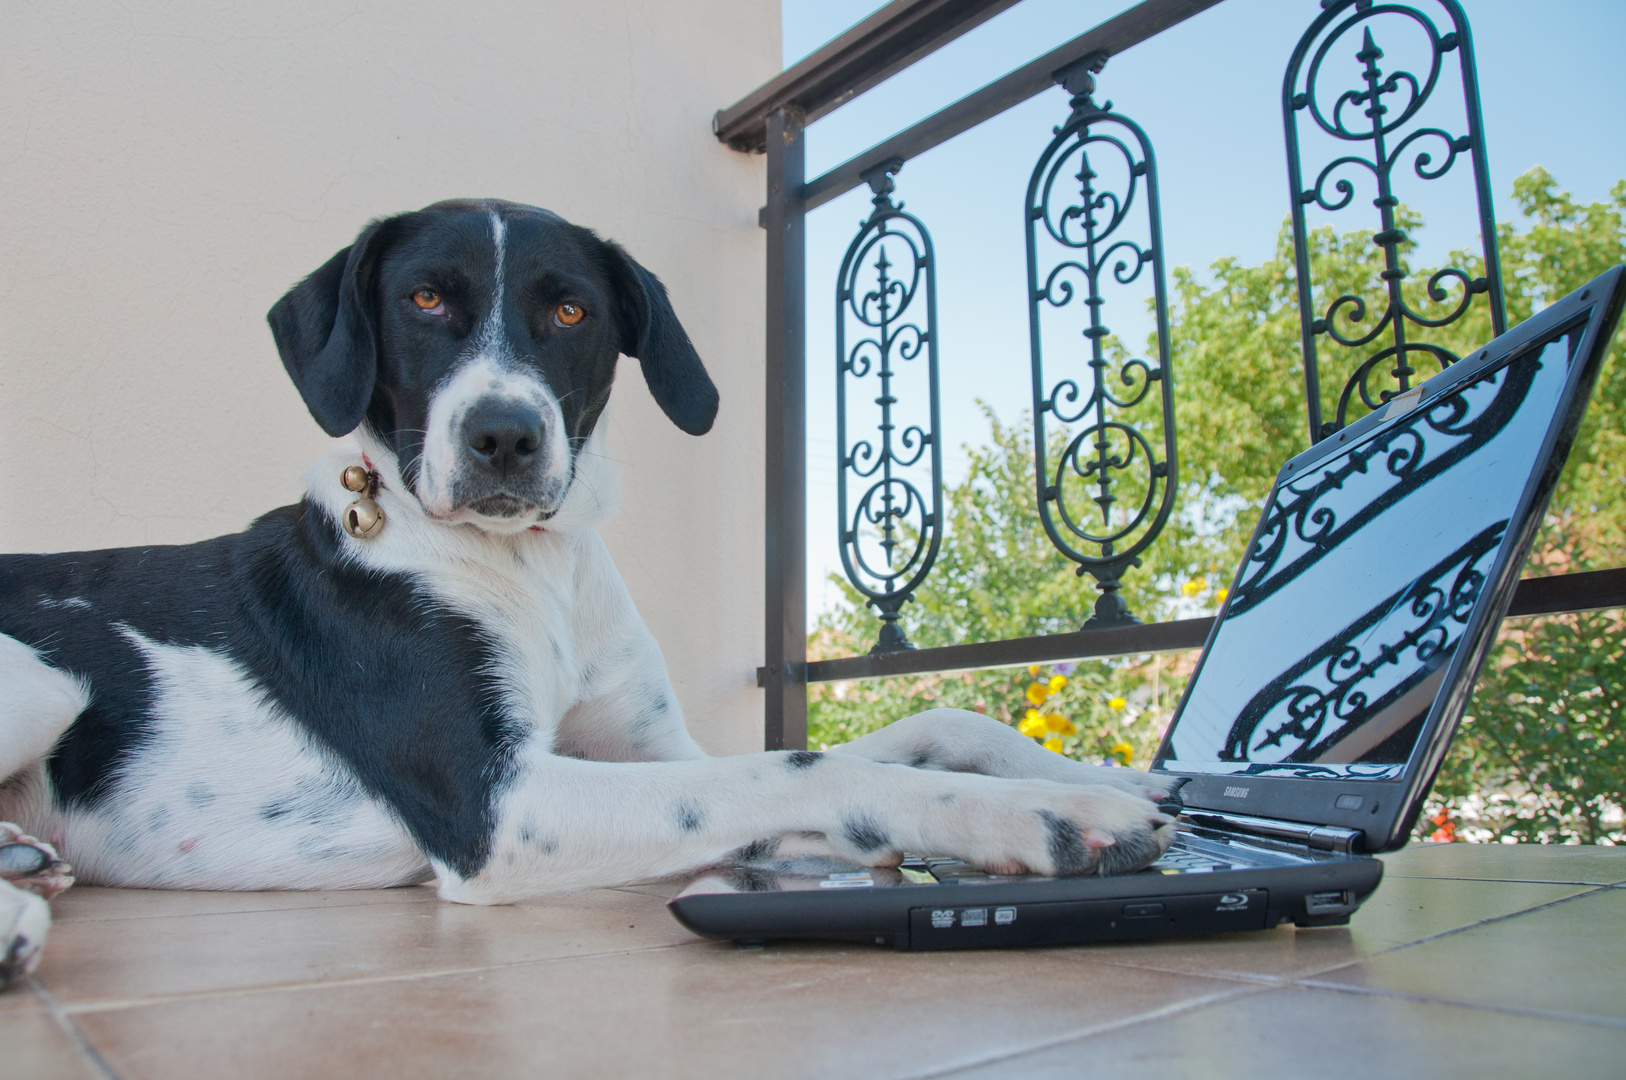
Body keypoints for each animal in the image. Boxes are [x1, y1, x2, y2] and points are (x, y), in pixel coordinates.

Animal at [0, 198, 1177, 982]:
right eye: (423, 298)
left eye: (570, 314)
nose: (503, 436)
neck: (532, 568)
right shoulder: (499, 809)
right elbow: (804, 766)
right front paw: (1053, 814)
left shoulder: (655, 755)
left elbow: (927, 725)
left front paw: (1109, 777)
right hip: (50, 680)